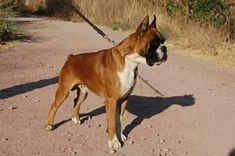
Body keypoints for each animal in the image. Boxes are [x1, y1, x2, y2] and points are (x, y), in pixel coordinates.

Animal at [43, 15, 166, 148]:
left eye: (163, 41)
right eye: (154, 43)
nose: (165, 48)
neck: (129, 60)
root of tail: (71, 57)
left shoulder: (123, 99)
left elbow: (119, 120)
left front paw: (120, 136)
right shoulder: (111, 101)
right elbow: (112, 122)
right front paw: (113, 141)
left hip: (83, 92)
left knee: (76, 102)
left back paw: (75, 118)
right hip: (63, 91)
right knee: (53, 106)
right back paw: (49, 125)